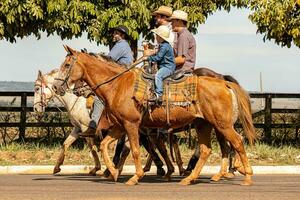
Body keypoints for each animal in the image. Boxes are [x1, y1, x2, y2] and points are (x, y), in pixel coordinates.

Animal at [52, 46, 256, 186]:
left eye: (67, 65)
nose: (55, 86)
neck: (118, 85)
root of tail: (223, 83)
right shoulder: (120, 126)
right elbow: (104, 146)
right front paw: (113, 172)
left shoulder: (132, 125)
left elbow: (134, 150)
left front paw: (136, 176)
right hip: (203, 125)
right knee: (208, 150)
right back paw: (191, 177)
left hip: (222, 125)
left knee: (236, 142)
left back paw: (245, 176)